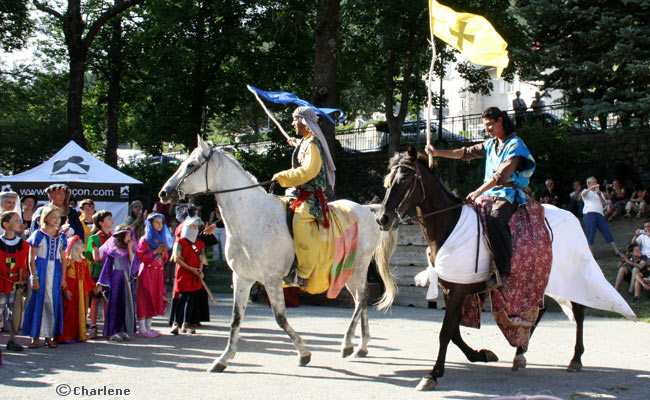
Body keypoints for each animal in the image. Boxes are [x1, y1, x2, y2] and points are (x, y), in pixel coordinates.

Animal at [159, 137, 398, 372]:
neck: (252, 217)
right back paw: (362, 347)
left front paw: (304, 353)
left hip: (356, 267)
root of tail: (367, 210)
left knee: (361, 300)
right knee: (360, 300)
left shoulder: (271, 279)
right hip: (348, 272)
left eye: (191, 164)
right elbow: (236, 318)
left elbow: (280, 318)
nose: (164, 193)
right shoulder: (242, 278)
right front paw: (223, 359)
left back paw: (347, 343)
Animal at [372, 145, 584, 392]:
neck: (448, 223)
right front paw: (480, 354)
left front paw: (433, 374)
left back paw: (575, 359)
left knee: (578, 310)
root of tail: (571, 216)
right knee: (538, 311)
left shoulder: (459, 290)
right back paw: (520, 354)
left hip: (571, 277)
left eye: (405, 180)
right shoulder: (450, 288)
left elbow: (446, 331)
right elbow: (453, 332)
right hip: (540, 280)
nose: (383, 219)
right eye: (389, 182)